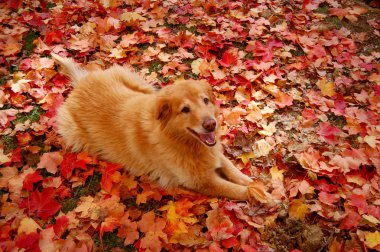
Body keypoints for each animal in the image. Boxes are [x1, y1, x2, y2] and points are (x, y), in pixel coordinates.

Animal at [51, 53, 252, 201]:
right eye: (185, 110)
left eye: (205, 100)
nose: (211, 125)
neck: (180, 141)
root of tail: (80, 83)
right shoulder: (202, 182)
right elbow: (236, 190)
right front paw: (258, 195)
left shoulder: (212, 152)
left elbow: (232, 168)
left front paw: (252, 182)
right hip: (73, 133)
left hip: (140, 84)